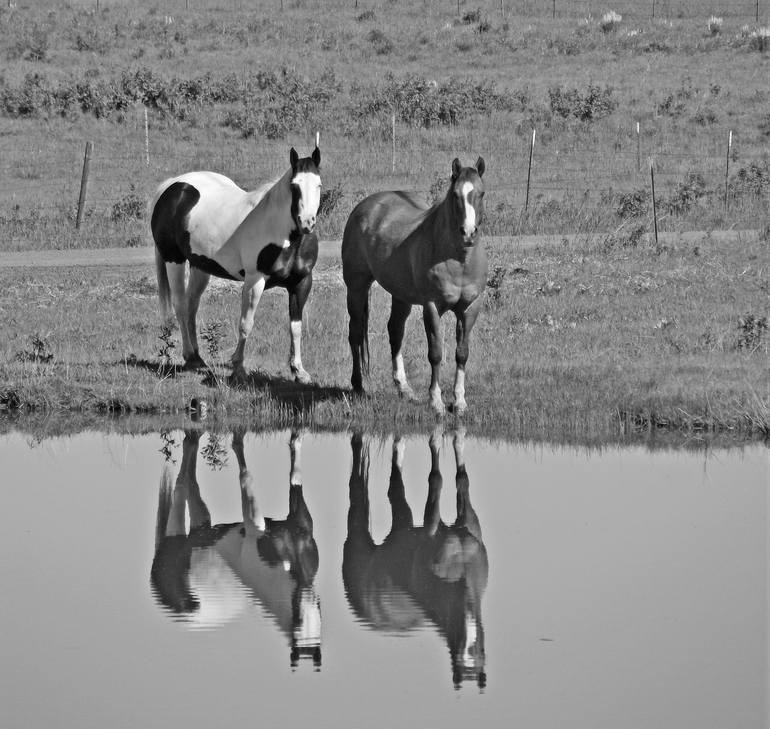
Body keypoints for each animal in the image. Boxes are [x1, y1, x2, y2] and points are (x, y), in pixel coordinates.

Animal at [152, 141, 320, 382]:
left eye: (318, 185)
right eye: (294, 186)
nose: (307, 222)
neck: (282, 232)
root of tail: (173, 186)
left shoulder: (301, 283)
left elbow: (295, 327)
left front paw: (299, 371)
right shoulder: (254, 282)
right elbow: (245, 324)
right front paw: (238, 368)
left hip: (200, 266)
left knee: (192, 305)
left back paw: (197, 358)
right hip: (173, 260)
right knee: (181, 305)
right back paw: (190, 357)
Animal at [152, 430, 320, 668]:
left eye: (317, 612)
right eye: (298, 619)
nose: (307, 592)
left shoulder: (298, 521)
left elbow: (295, 476)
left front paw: (296, 440)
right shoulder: (254, 525)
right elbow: (245, 474)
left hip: (201, 528)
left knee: (190, 467)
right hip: (178, 534)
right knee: (181, 485)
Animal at [342, 426, 486, 688]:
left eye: (479, 647)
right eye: (456, 642)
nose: (469, 614)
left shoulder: (470, 522)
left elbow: (462, 480)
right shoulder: (432, 525)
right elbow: (436, 480)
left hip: (401, 525)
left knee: (394, 483)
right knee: (359, 485)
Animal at [344, 158, 486, 416]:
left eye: (481, 193)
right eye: (455, 195)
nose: (468, 233)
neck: (458, 259)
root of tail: (366, 206)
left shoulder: (470, 308)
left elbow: (462, 353)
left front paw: (459, 402)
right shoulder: (432, 307)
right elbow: (436, 354)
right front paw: (436, 402)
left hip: (401, 296)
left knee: (395, 331)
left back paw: (404, 389)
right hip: (356, 287)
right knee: (356, 333)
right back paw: (358, 385)